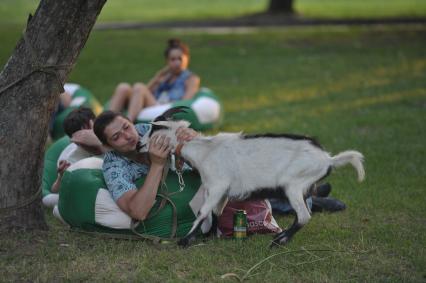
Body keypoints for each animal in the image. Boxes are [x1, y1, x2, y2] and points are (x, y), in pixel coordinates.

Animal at [138, 107, 364, 247]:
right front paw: (212, 236)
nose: (139, 144)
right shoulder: (222, 192)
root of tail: (328, 159)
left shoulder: (217, 186)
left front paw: (185, 241)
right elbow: (216, 213)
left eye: (153, 129)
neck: (205, 152)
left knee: (303, 216)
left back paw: (278, 241)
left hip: (293, 186)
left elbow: (203, 212)